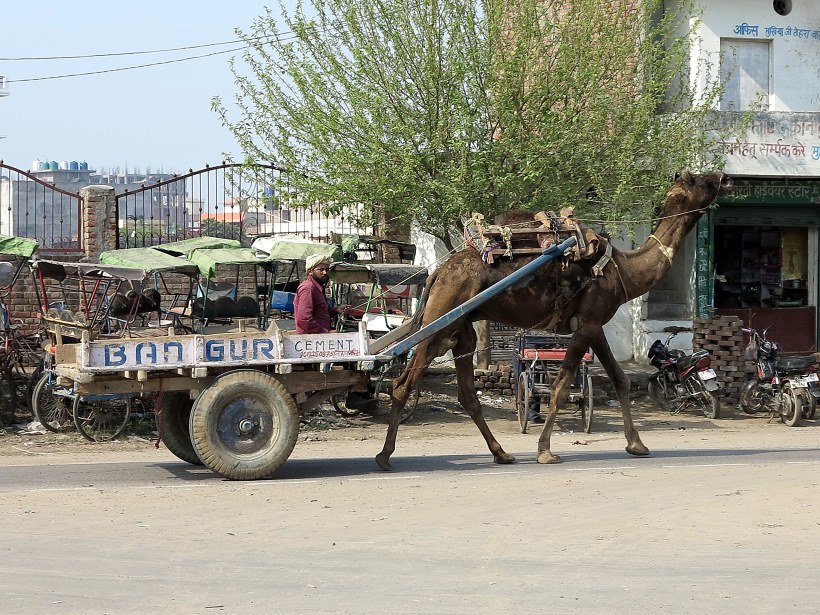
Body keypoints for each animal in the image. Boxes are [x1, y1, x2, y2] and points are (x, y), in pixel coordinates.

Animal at [375, 171, 733, 470]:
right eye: (701, 181)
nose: (724, 177)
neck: (623, 273)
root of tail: (438, 272)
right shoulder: (587, 325)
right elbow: (560, 387)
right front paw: (545, 451)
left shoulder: (593, 325)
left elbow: (620, 380)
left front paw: (637, 445)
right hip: (440, 319)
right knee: (403, 382)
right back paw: (384, 456)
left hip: (461, 329)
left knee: (466, 394)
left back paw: (502, 453)